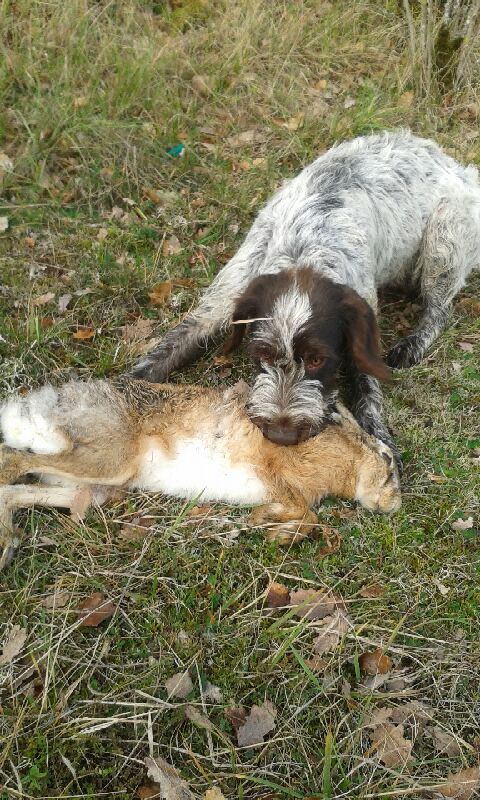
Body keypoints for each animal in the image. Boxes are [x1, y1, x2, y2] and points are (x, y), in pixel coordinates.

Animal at [0, 376, 402, 568]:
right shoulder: (272, 465)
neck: (347, 459)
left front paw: (268, 525)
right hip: (111, 459)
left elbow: (303, 514)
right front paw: (271, 528)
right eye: (388, 463)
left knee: (19, 492)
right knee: (10, 460)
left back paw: (9, 545)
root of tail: (45, 409)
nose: (393, 505)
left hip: (94, 489)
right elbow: (306, 512)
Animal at [129, 132, 480, 466]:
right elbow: (166, 350)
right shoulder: (224, 299)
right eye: (262, 355)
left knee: (440, 309)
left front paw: (379, 439)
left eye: (317, 360)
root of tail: (456, 166)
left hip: (444, 238)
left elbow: (367, 385)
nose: (281, 435)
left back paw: (414, 343)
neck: (305, 249)